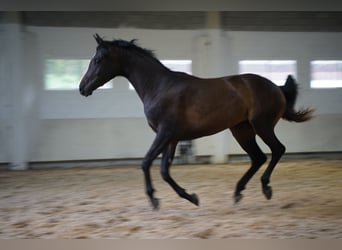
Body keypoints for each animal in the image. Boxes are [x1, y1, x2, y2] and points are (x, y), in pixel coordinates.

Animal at [79, 33, 314, 209]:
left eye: (97, 60)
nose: (82, 88)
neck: (159, 86)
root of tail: (277, 88)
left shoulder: (164, 133)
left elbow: (146, 163)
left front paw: (154, 199)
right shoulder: (172, 138)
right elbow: (164, 171)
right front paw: (191, 197)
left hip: (262, 126)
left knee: (277, 150)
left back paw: (265, 188)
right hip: (242, 130)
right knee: (258, 157)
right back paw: (238, 193)